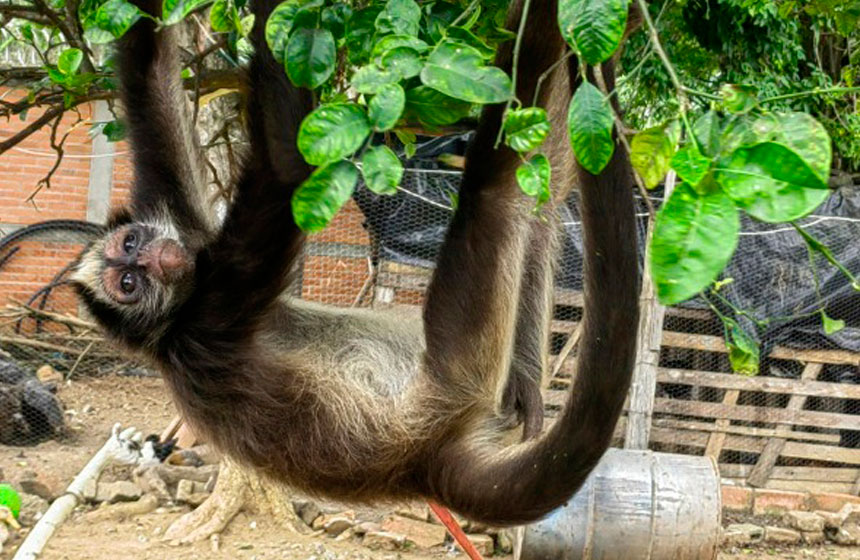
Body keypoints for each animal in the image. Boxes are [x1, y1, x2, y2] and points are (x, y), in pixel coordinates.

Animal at [72, 0, 640, 528]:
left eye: (129, 247)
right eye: (128, 283)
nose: (150, 257)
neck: (173, 322)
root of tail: (426, 467)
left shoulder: (188, 239)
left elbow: (147, 71)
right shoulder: (209, 314)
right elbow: (286, 165)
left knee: (545, 203)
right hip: (459, 374)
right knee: (496, 186)